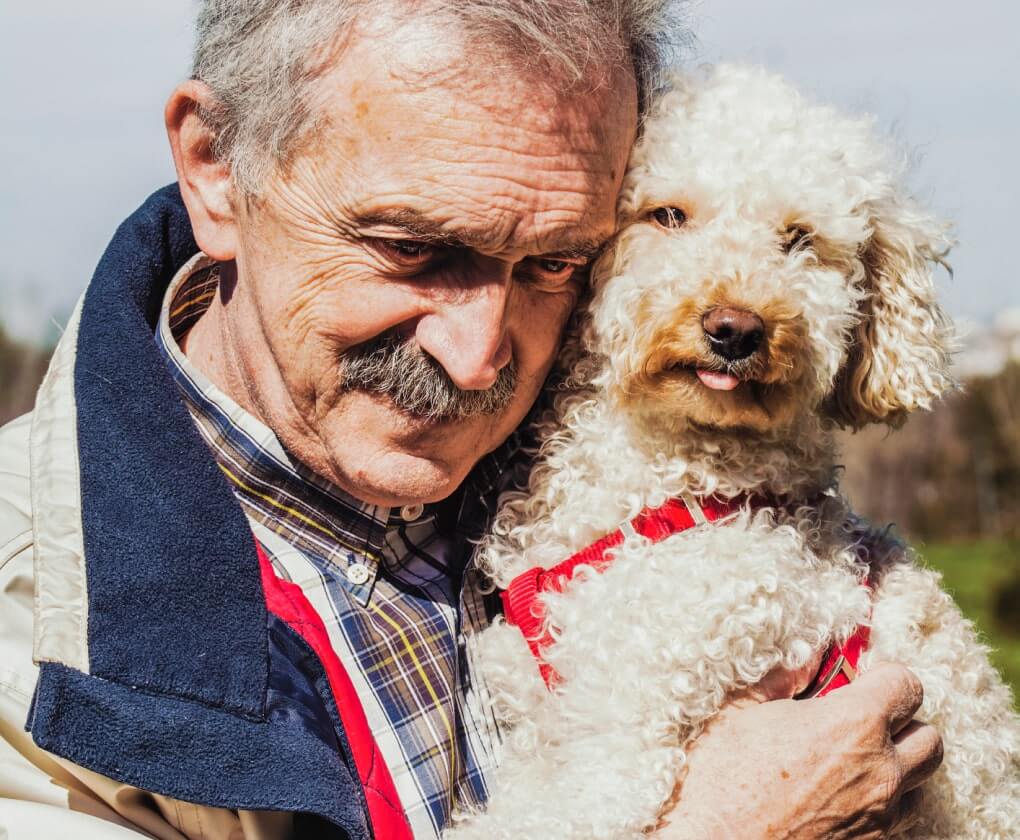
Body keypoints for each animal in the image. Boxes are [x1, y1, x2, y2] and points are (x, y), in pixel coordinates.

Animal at [450, 62, 1020, 835]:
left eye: (800, 238)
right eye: (667, 216)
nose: (736, 328)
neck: (679, 492)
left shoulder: (612, 750)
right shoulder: (545, 732)